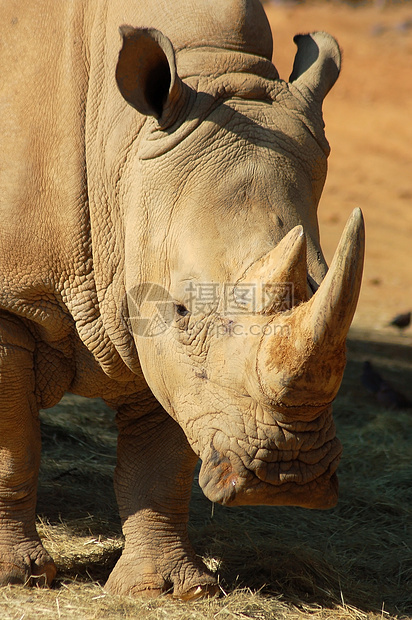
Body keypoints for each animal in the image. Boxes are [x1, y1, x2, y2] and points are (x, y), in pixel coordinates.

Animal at [0, 0, 366, 600]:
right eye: (182, 308)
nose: (288, 476)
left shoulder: (157, 325)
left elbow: (160, 460)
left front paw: (168, 590)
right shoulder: (14, 301)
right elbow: (14, 445)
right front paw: (20, 579)